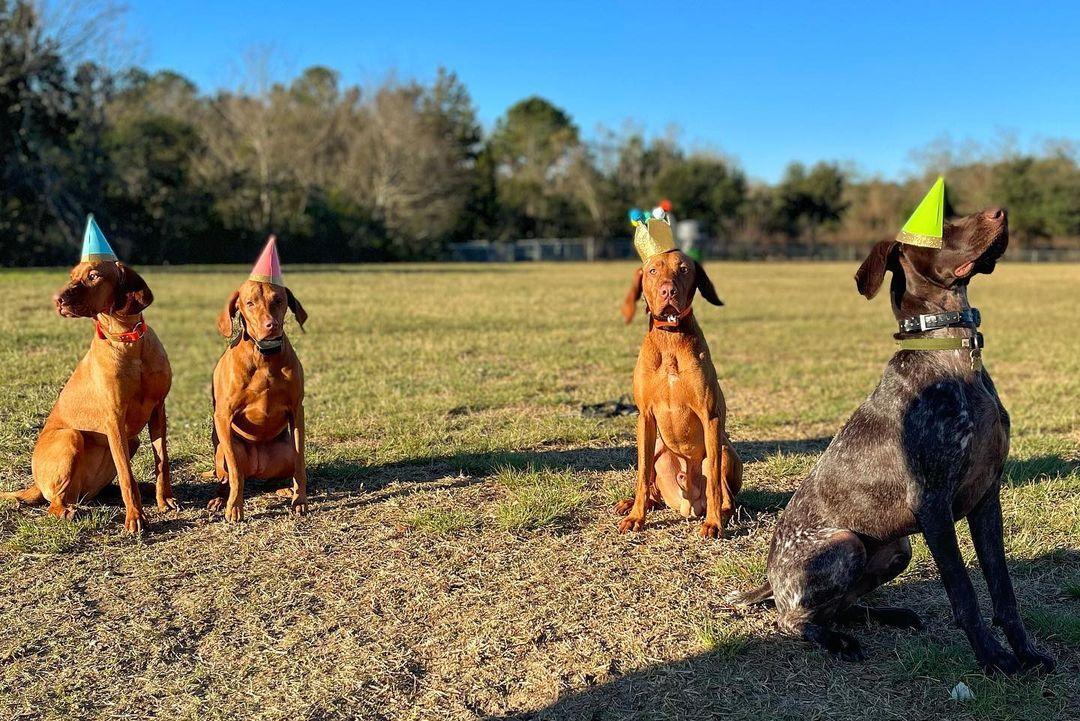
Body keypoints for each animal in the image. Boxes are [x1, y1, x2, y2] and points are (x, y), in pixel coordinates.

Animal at [1, 257, 174, 528]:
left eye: (93, 276)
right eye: (72, 276)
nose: (57, 299)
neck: (127, 340)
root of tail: (36, 484)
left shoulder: (158, 409)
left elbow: (162, 461)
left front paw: (163, 499)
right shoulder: (114, 419)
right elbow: (126, 474)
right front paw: (135, 517)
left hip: (131, 441)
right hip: (70, 436)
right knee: (55, 503)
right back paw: (67, 511)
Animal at [208, 274, 308, 518]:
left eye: (278, 301)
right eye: (250, 303)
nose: (271, 325)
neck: (265, 357)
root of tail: (258, 469)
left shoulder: (297, 410)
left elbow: (300, 462)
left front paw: (300, 499)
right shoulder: (223, 417)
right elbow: (235, 472)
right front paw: (235, 507)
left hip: (283, 452)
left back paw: (284, 489)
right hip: (221, 454)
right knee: (227, 477)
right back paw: (219, 499)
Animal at [617, 250, 743, 537]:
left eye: (684, 269)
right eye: (652, 271)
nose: (668, 291)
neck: (670, 340)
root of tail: (688, 503)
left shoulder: (710, 416)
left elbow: (715, 484)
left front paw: (714, 523)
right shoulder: (645, 417)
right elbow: (641, 474)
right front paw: (636, 517)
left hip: (723, 448)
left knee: (726, 495)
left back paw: (719, 517)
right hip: (658, 447)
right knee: (652, 487)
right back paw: (635, 504)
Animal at [734, 203, 1054, 677]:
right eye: (942, 223)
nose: (1001, 212)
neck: (953, 357)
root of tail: (770, 578)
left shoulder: (986, 497)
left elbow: (1003, 590)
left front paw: (1026, 652)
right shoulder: (933, 504)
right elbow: (965, 594)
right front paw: (994, 658)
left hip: (897, 550)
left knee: (841, 607)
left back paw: (890, 616)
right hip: (845, 545)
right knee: (794, 619)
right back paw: (836, 641)